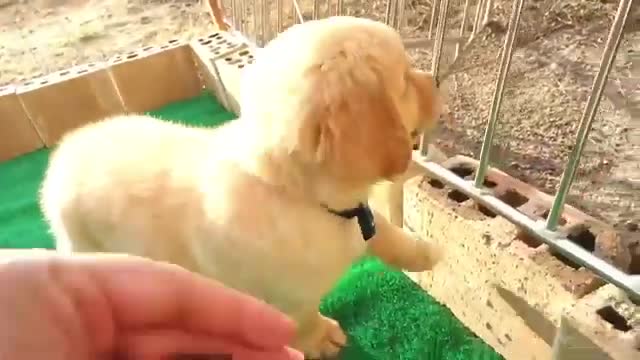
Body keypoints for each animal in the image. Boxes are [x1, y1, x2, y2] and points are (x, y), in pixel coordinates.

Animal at [38, 16, 440, 358]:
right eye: (405, 80)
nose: (437, 82)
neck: (296, 194)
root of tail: (63, 156)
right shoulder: (287, 299)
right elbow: (304, 318)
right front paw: (321, 339)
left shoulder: (358, 216)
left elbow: (384, 231)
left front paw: (424, 253)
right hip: (86, 245)